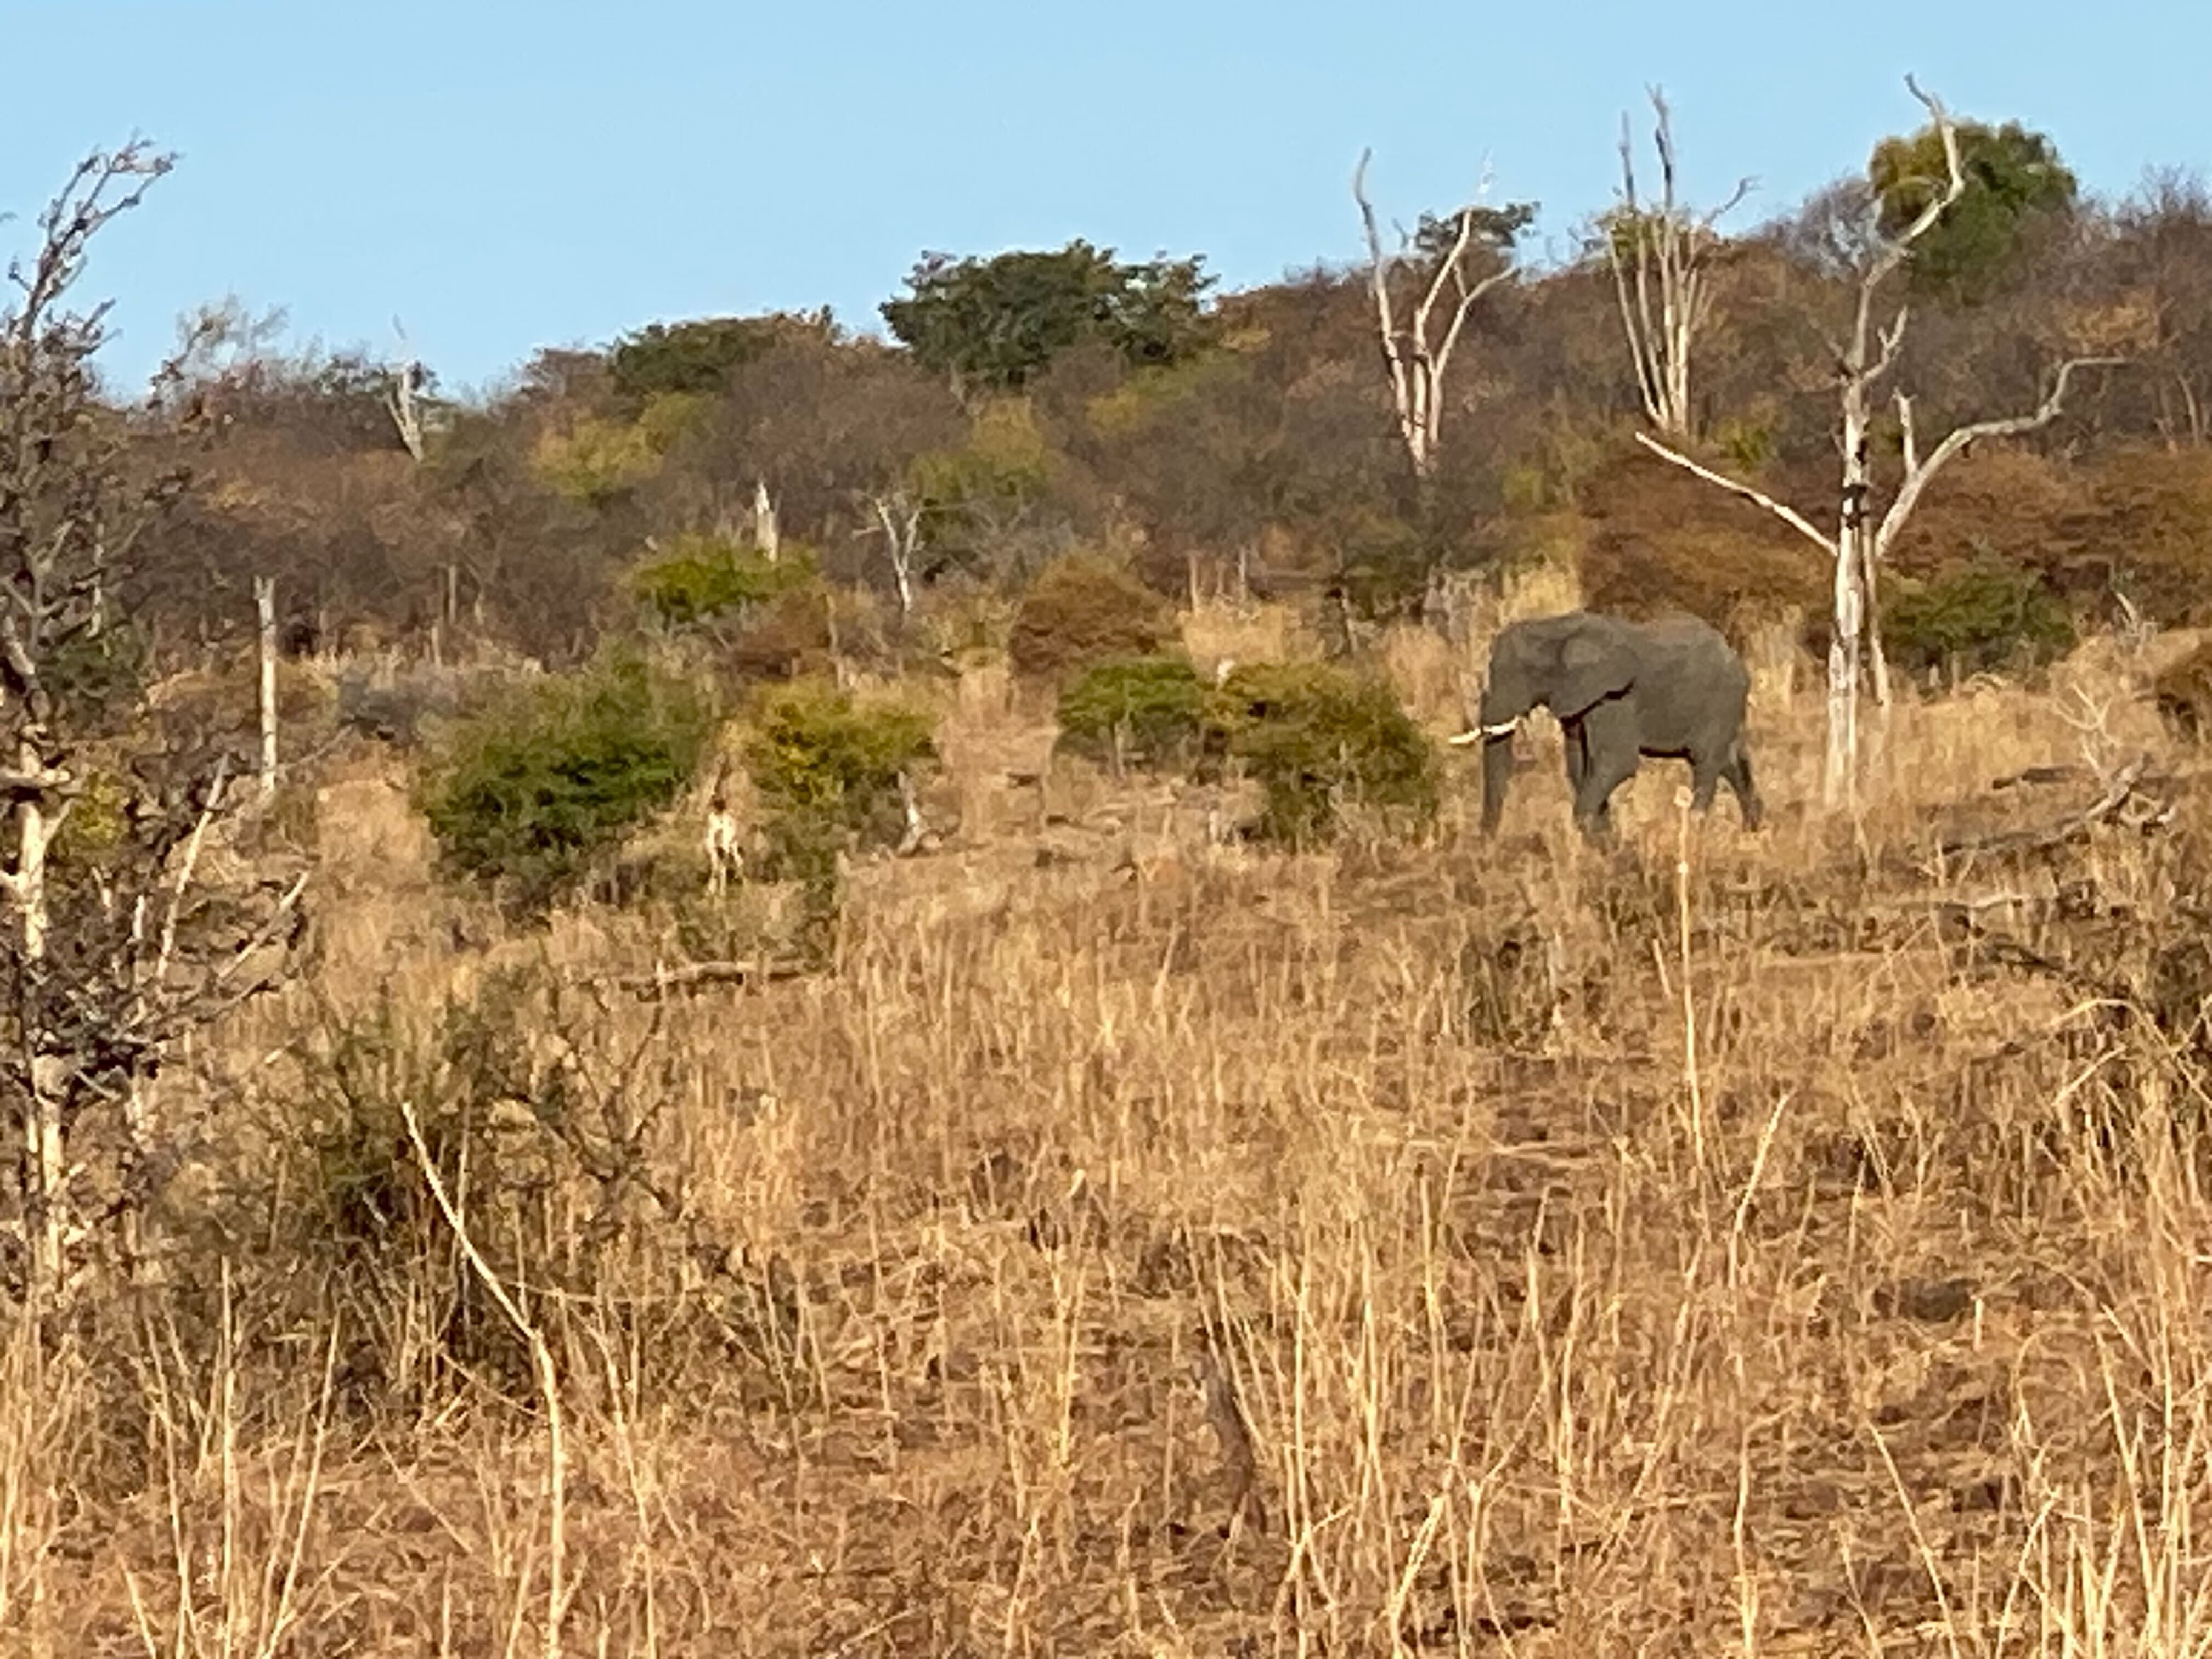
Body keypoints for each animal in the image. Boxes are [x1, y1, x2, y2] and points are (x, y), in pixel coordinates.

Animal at [1452, 610, 1762, 837]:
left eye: (1526, 673)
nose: (1485, 844)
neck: (1557, 628)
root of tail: (1735, 655)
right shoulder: (1576, 700)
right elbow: (1579, 765)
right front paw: (1605, 841)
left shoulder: (1613, 696)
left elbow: (1617, 762)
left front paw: (1590, 835)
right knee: (1732, 764)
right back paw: (1753, 833)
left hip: (1722, 700)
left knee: (1706, 763)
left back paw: (1696, 831)